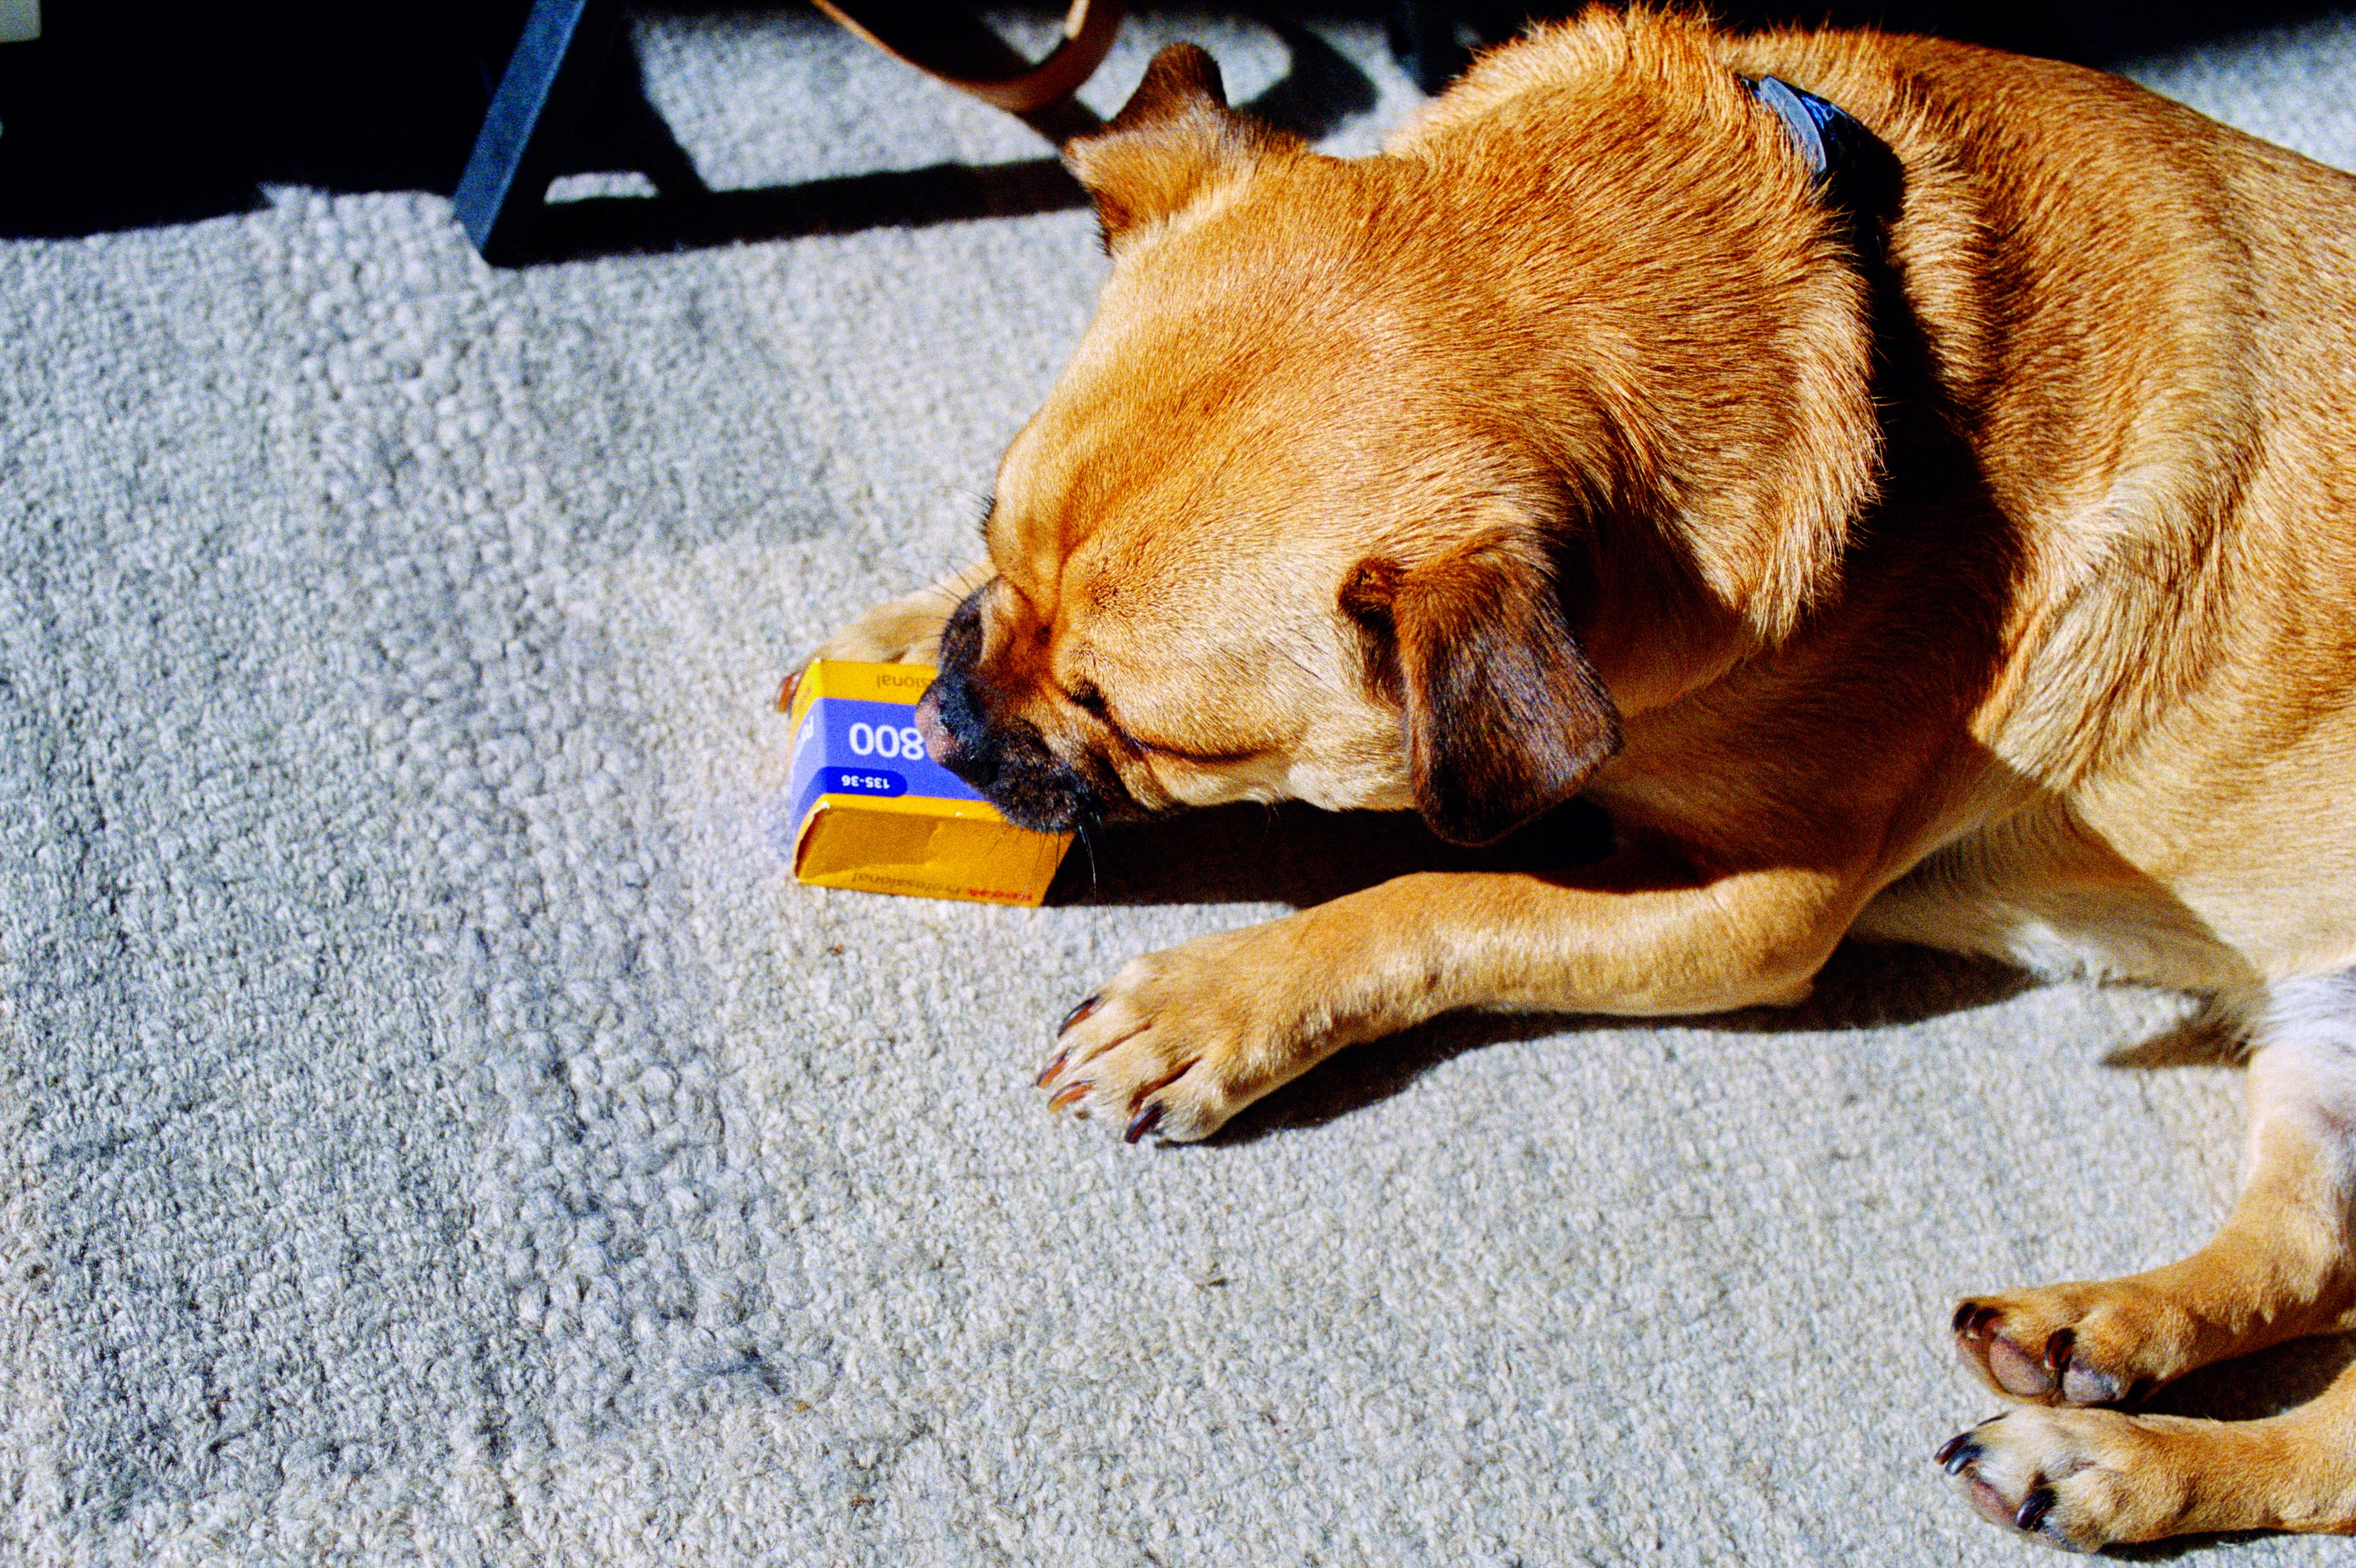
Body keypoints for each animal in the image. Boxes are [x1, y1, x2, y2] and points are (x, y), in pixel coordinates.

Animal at [805, 9, 2356, 1547]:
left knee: (2329, 1449)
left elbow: (1431, 900)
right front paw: (904, 635)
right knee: (2302, 1253)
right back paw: (2093, 1332)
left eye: (1149, 732)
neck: (1843, 288)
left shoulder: (1753, 908)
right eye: (987, 534)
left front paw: (1215, 1002)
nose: (951, 731)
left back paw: (2108, 1461)